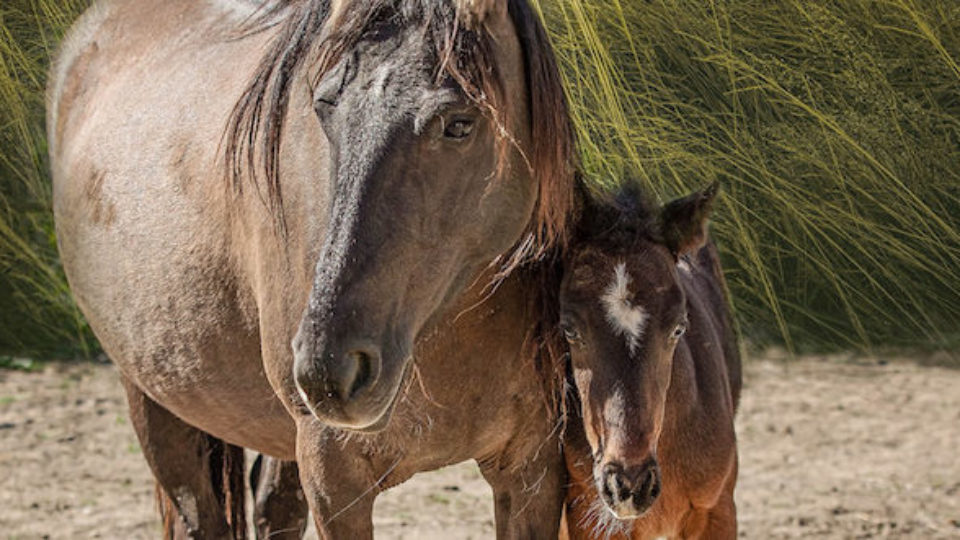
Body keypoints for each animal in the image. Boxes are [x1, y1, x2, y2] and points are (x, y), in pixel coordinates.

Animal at [48, 0, 576, 537]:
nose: (329, 368)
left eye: (460, 124)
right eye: (324, 108)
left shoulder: (531, 468)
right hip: (152, 400)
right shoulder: (334, 477)